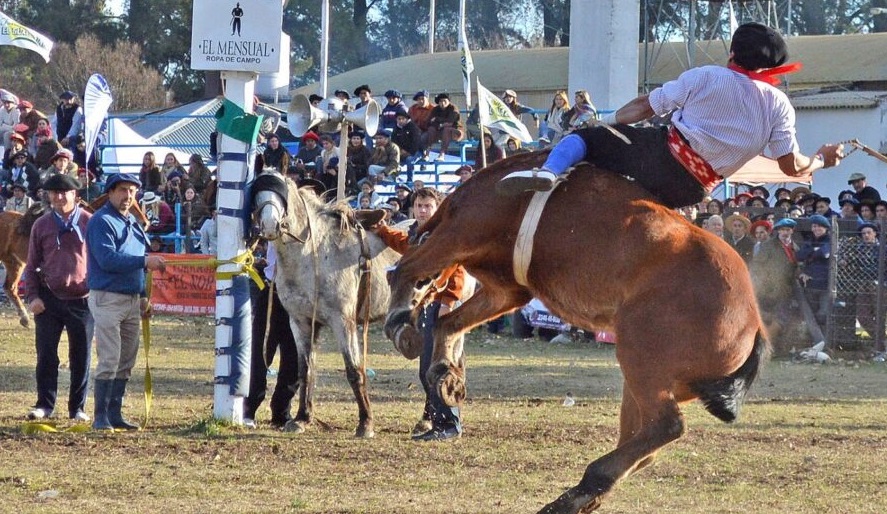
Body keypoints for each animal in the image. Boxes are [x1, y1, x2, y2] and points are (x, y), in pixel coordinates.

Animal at [386, 152, 768, 512]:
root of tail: (752, 326)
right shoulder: (507, 290)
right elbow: (447, 323)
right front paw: (446, 376)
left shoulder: (463, 233)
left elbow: (406, 268)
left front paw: (400, 317)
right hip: (648, 379)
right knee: (644, 445)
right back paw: (577, 496)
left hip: (640, 358)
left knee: (666, 426)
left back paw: (583, 486)